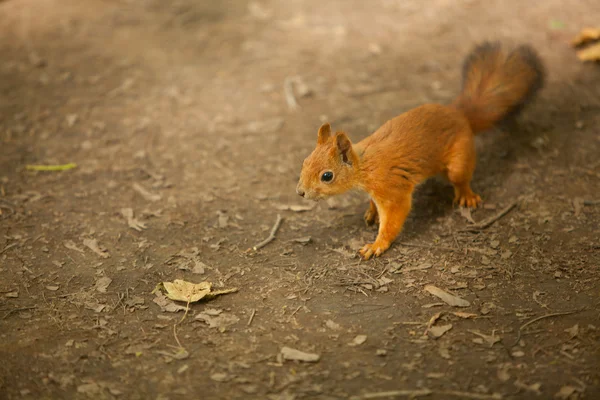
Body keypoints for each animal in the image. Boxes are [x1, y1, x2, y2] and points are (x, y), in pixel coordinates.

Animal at [296, 40, 544, 260]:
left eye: (327, 176)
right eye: (304, 162)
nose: (300, 192)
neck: (364, 166)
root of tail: (459, 114)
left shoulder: (392, 190)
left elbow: (393, 219)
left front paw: (377, 244)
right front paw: (371, 212)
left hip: (459, 159)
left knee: (460, 178)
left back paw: (466, 195)